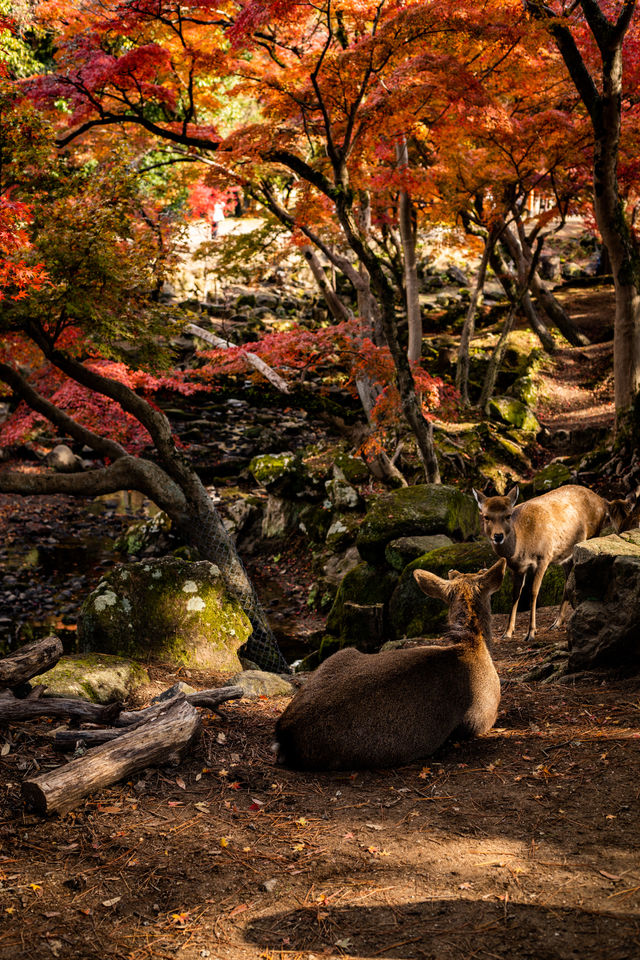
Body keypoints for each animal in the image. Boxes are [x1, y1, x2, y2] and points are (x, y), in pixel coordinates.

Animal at [472, 484, 608, 640]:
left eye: (508, 515)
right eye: (486, 516)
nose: (498, 536)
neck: (521, 549)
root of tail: (602, 501)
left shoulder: (544, 557)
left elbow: (533, 592)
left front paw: (531, 632)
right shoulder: (517, 568)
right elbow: (515, 593)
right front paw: (507, 632)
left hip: (593, 534)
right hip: (566, 555)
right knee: (568, 580)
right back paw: (557, 622)